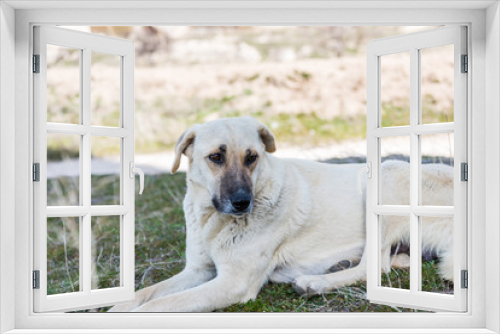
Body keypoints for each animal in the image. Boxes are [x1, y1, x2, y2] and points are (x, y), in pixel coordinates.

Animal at [109, 117, 454, 314]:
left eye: (251, 157)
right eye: (216, 157)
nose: (242, 203)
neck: (214, 220)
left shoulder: (233, 283)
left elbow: (160, 304)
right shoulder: (197, 271)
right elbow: (146, 293)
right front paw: (117, 307)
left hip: (386, 174)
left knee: (376, 265)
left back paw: (315, 282)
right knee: (392, 261)